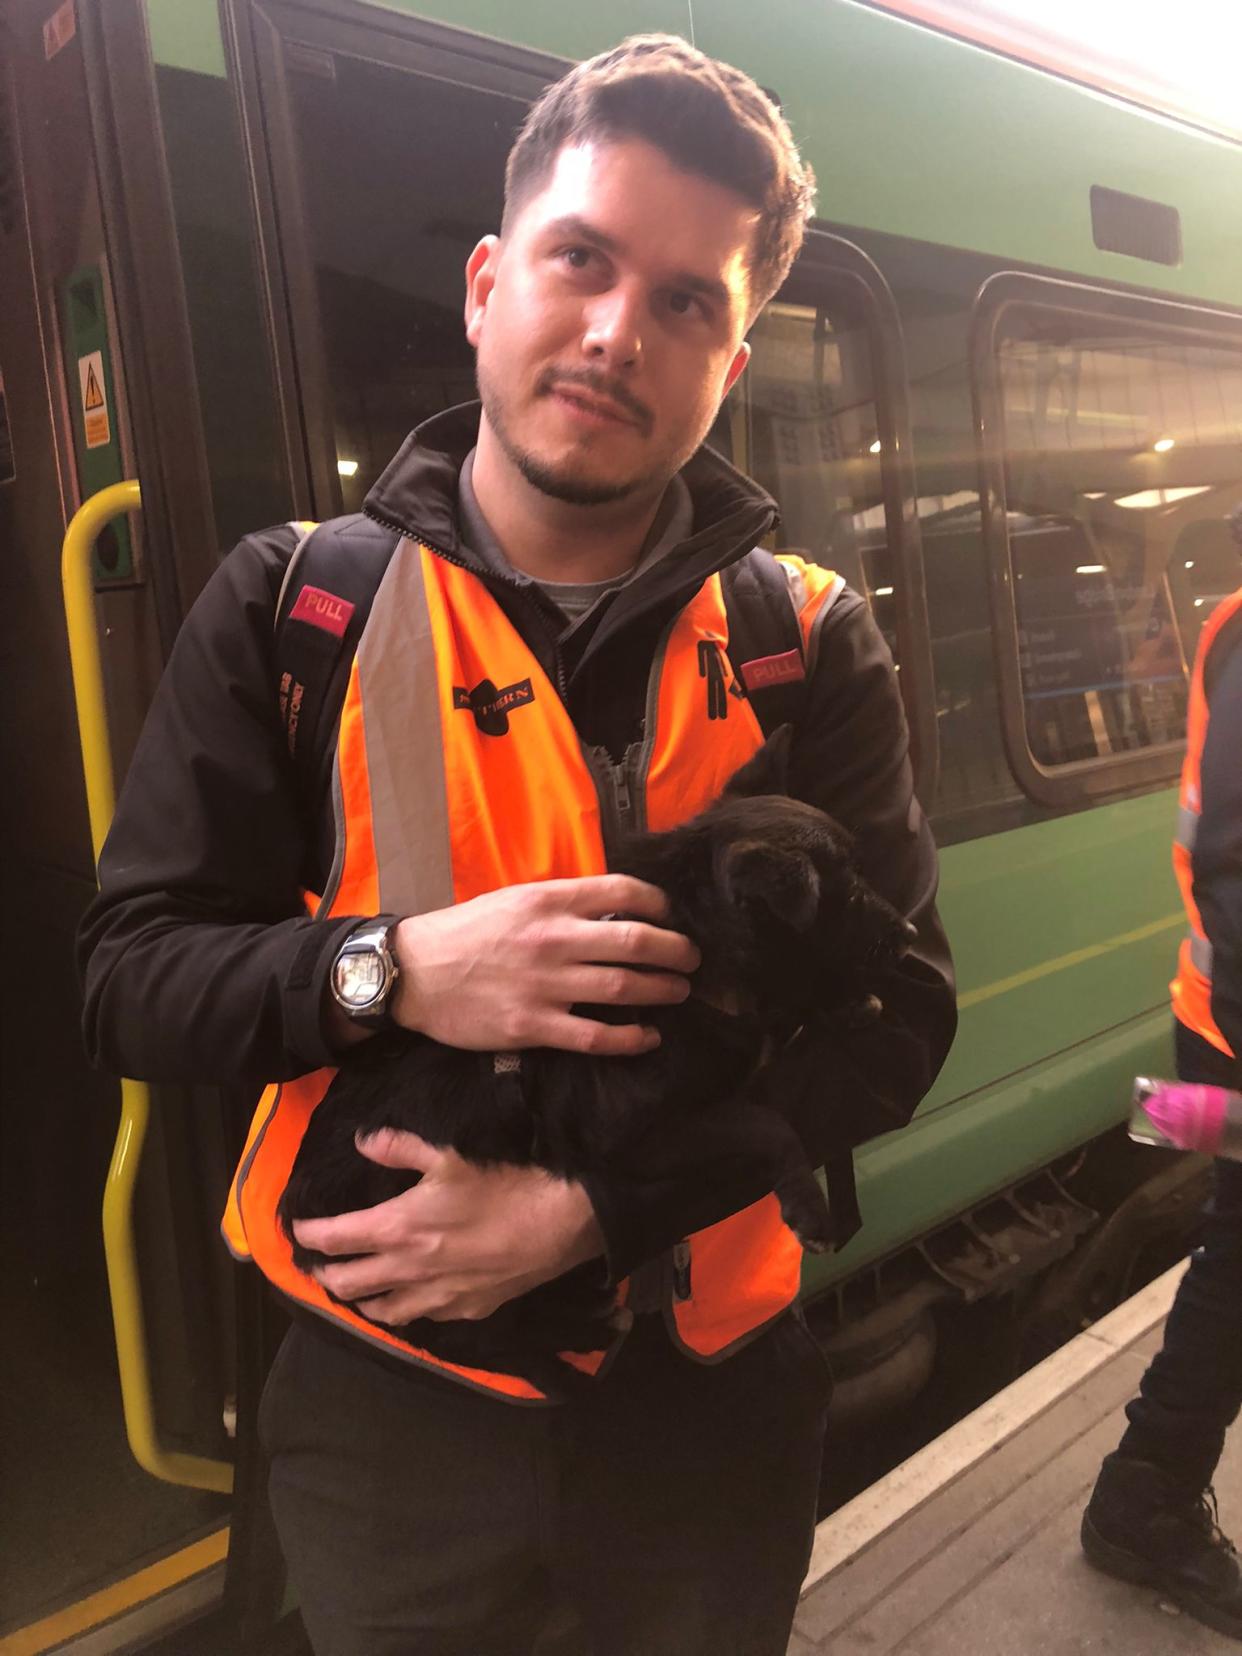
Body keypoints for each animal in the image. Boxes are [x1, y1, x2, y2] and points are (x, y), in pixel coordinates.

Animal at [281, 731, 914, 1391]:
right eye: (846, 894)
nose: (911, 935)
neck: (697, 953)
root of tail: (306, 1251)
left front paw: (842, 1005)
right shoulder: (634, 1138)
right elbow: (765, 1121)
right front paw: (808, 1207)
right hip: (456, 1306)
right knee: (500, 1347)